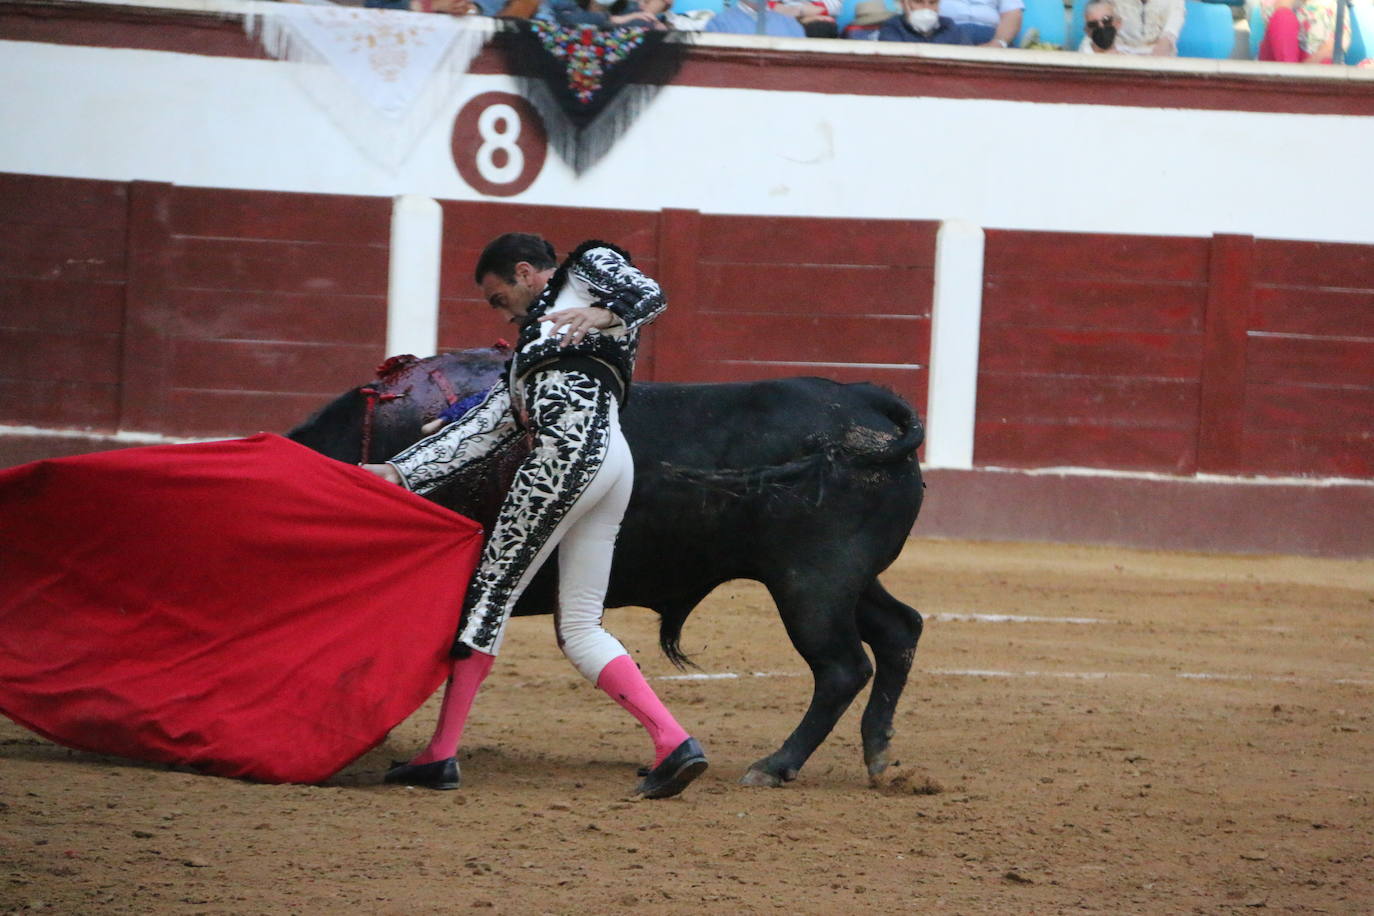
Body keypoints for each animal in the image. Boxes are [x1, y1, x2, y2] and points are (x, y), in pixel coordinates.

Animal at [292, 351, 934, 791]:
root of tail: (870, 400)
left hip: (812, 582)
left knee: (843, 667)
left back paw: (775, 766)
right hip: (846, 580)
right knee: (899, 629)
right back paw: (878, 756)